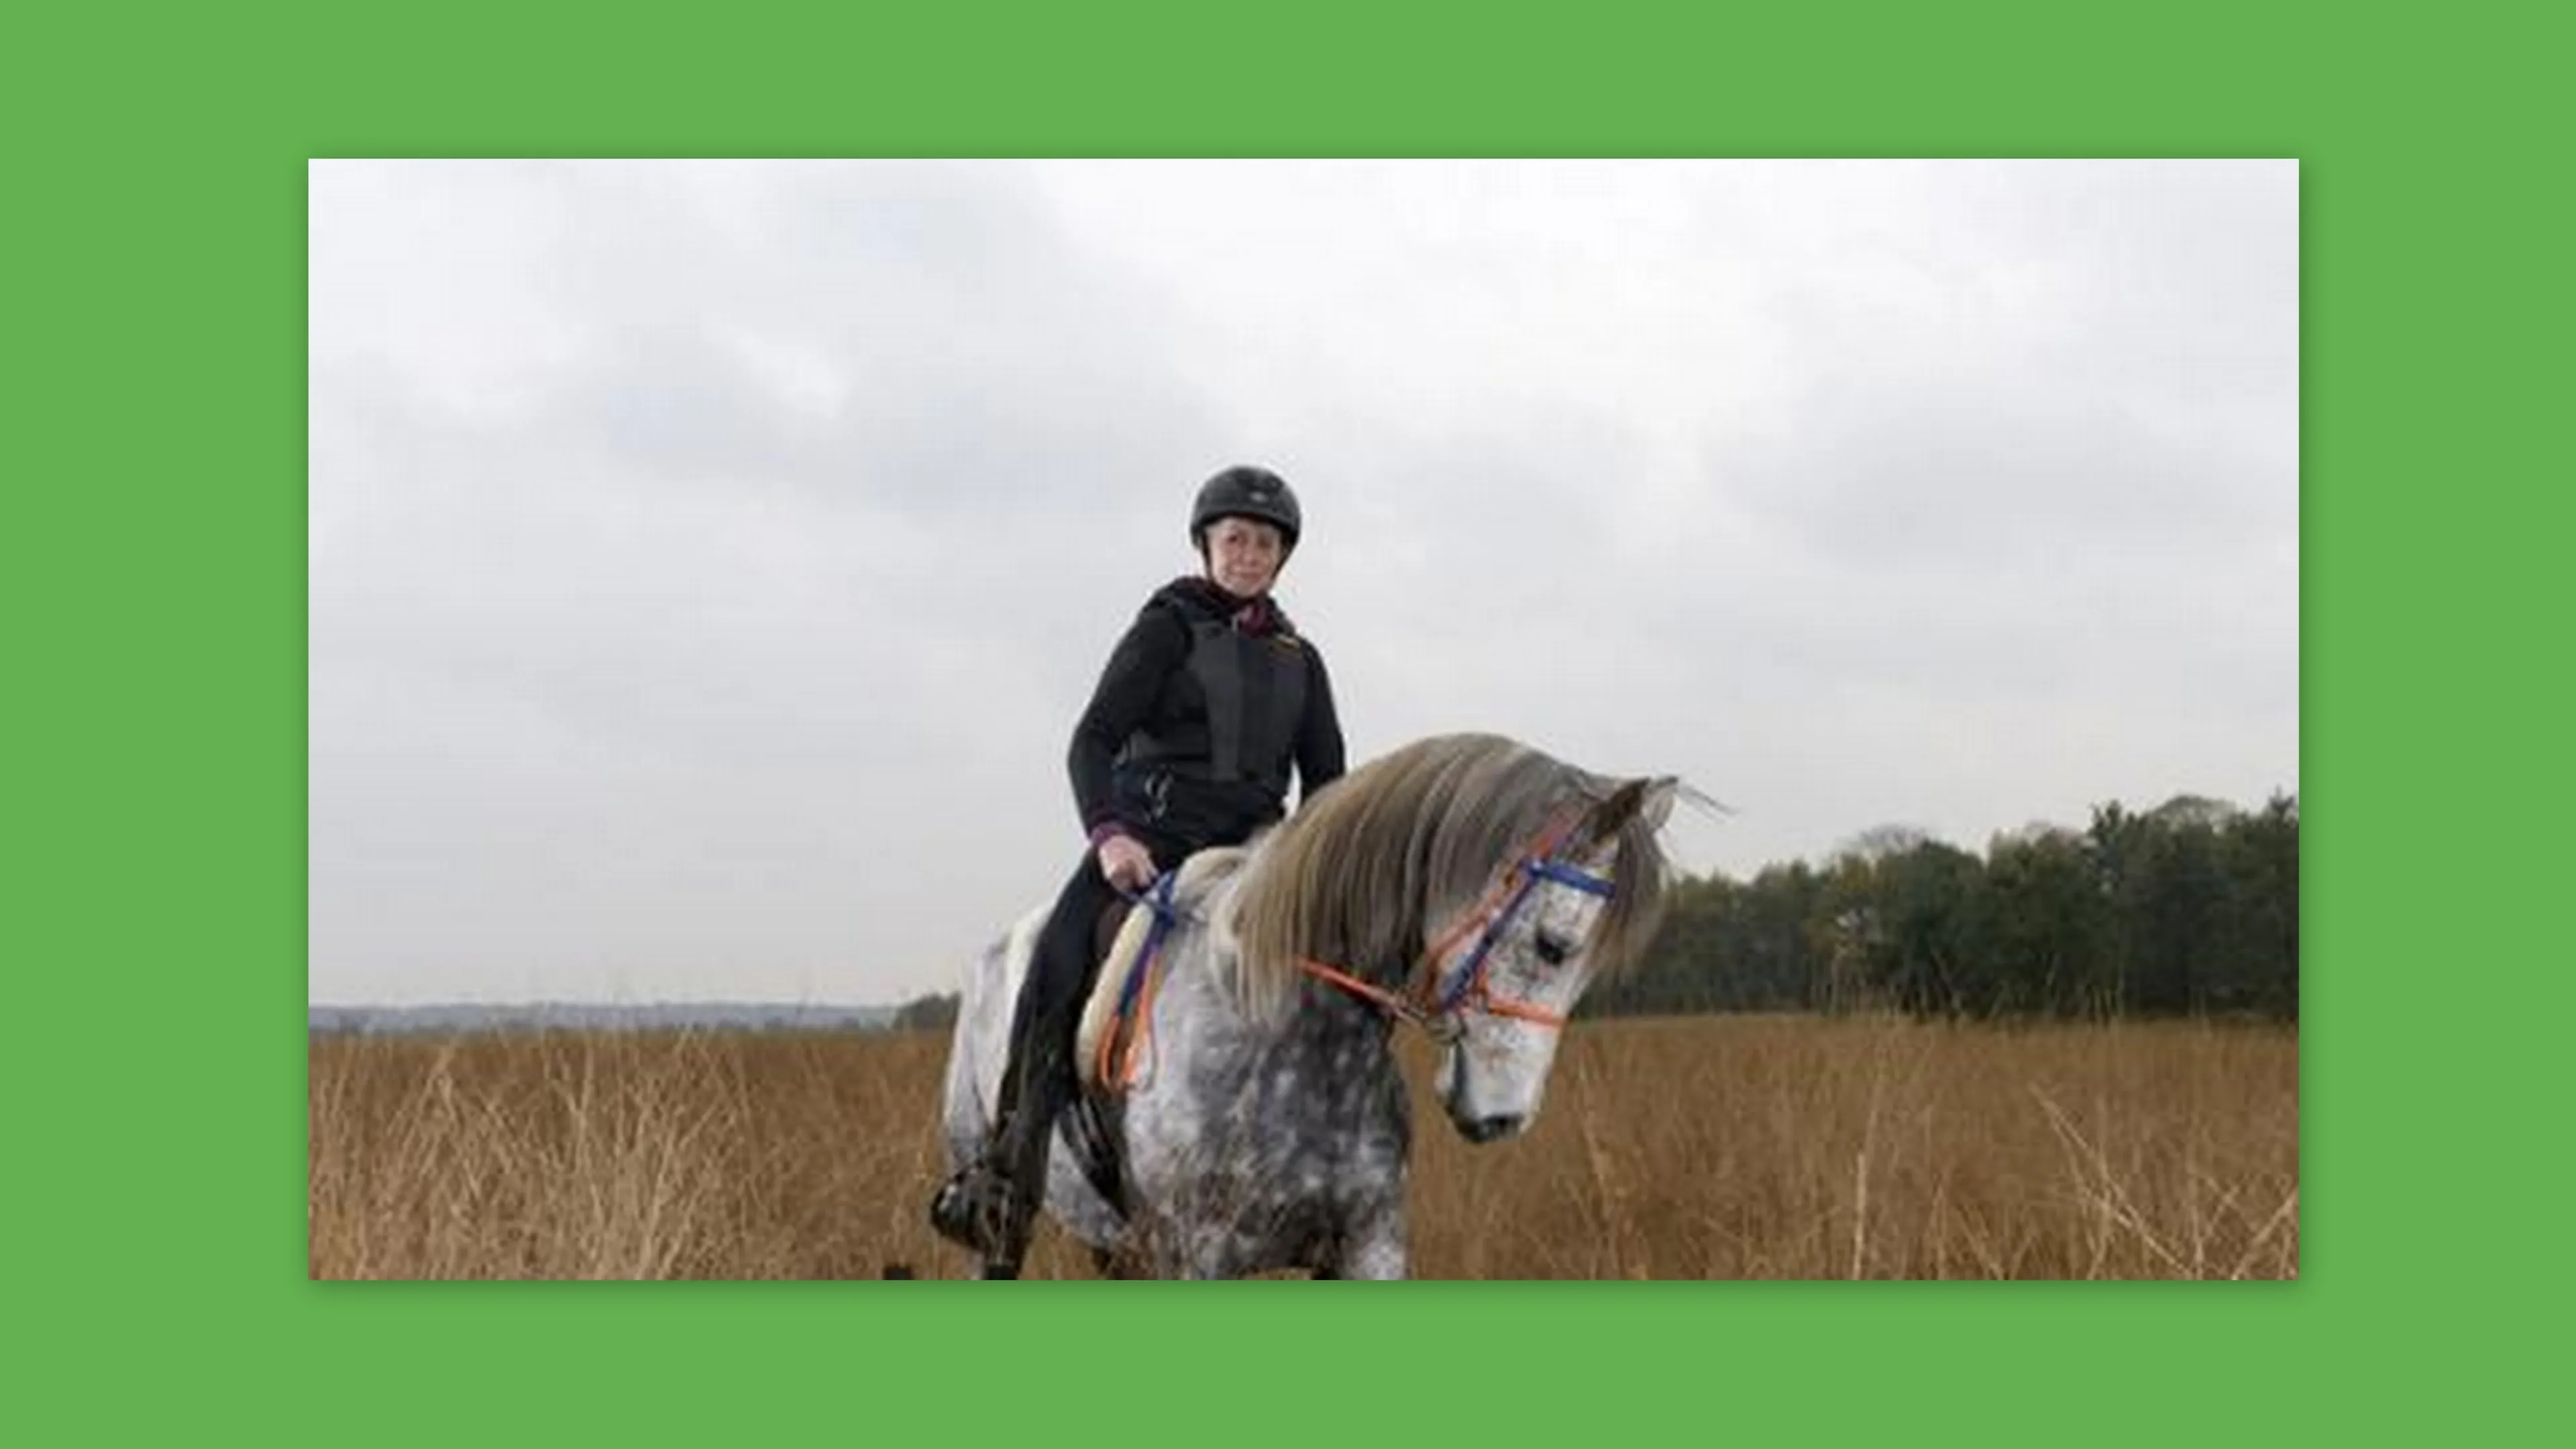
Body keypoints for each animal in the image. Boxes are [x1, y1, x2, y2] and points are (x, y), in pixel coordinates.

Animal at [935, 732, 1682, 1279]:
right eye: (1554, 945)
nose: (1503, 1118)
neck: (1296, 1041)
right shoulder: (1198, 1257)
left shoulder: (1369, 1245)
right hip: (1005, 1220)